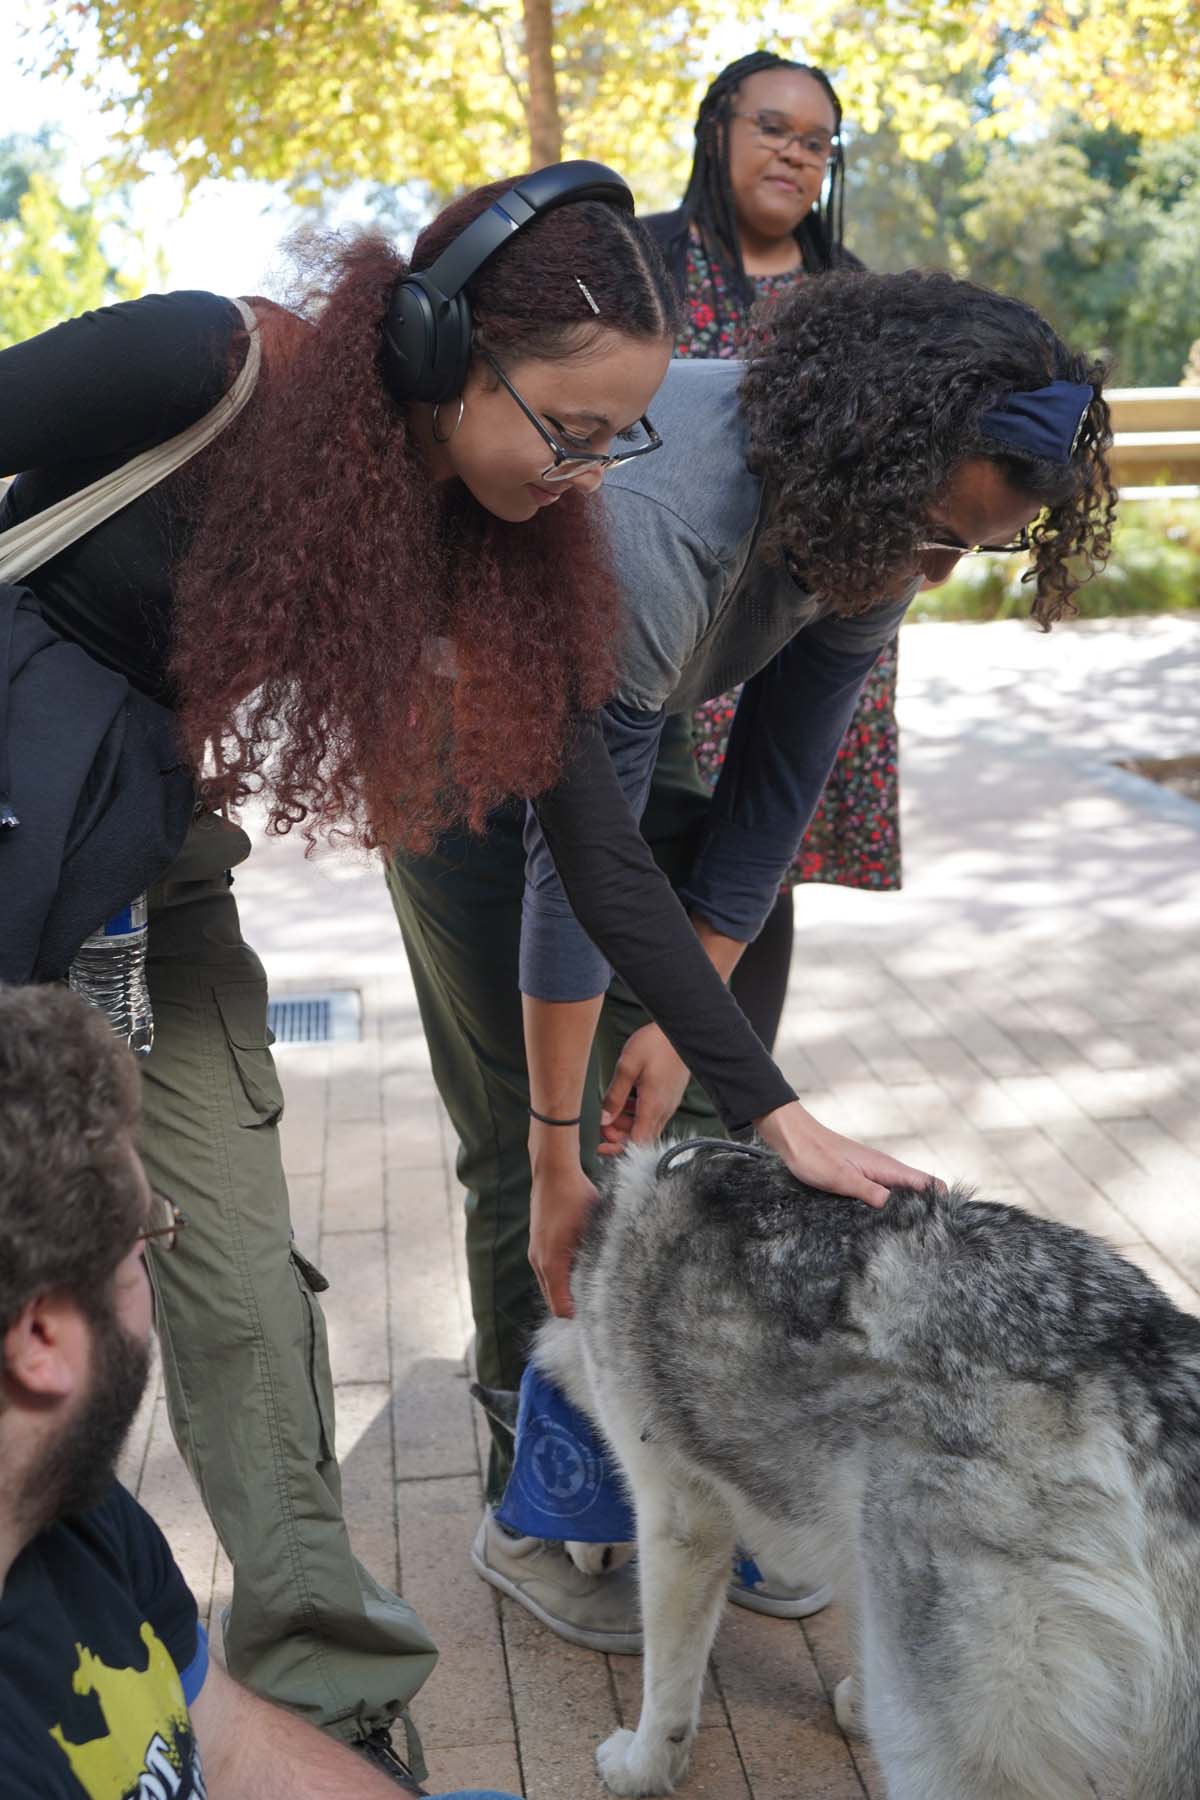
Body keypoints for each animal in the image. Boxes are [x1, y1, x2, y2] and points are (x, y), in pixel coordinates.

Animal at [539, 1144, 1200, 1792]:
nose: (578, 1552)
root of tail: (1141, 1374)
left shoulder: (679, 1518)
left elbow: (667, 1691)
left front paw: (641, 1770)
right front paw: (855, 1707)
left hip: (931, 1739)